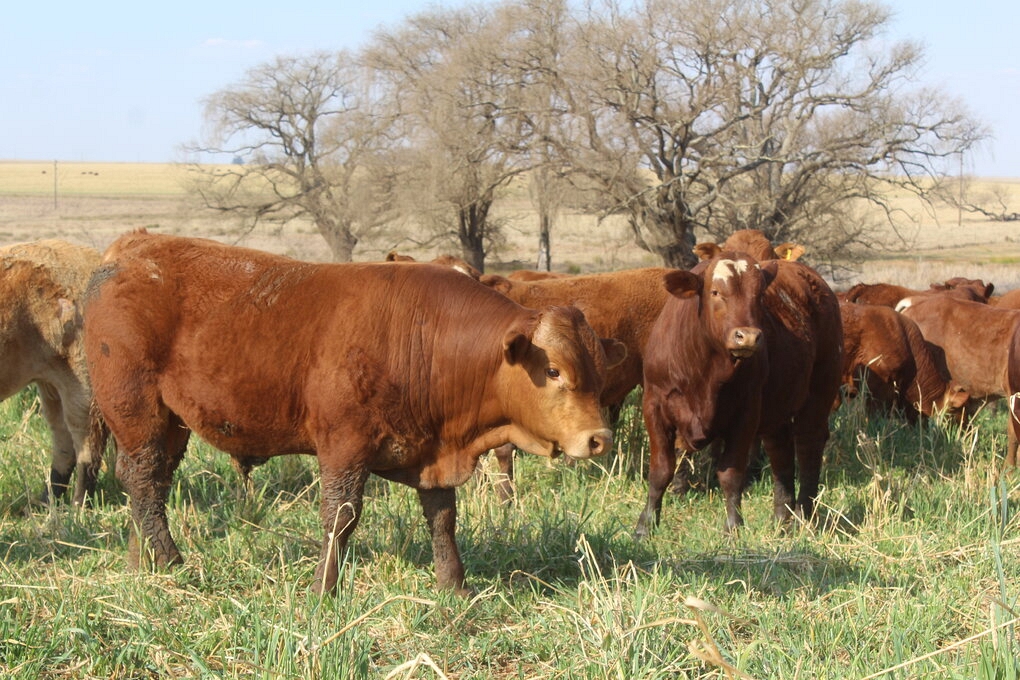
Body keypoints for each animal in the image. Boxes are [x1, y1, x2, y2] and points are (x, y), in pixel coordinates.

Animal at [0, 239, 108, 506]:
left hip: (82, 373)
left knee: (87, 440)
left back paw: (78, 506)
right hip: (50, 381)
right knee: (62, 438)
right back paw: (42, 504)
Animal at [83, 231, 625, 595]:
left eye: (598, 370)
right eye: (553, 370)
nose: (599, 437)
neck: (423, 335)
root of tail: (131, 247)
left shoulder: (431, 453)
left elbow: (443, 519)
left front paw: (454, 587)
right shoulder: (344, 447)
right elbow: (340, 517)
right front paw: (325, 590)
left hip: (172, 422)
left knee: (151, 484)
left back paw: (143, 562)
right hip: (137, 410)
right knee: (142, 479)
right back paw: (172, 561)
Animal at [636, 250, 843, 535]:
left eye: (759, 296)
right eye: (715, 292)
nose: (748, 336)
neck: (704, 369)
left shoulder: (745, 414)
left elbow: (731, 474)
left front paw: (733, 527)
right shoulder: (654, 406)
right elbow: (660, 470)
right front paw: (645, 525)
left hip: (819, 392)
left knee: (808, 445)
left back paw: (803, 516)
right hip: (776, 409)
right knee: (781, 452)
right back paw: (782, 517)